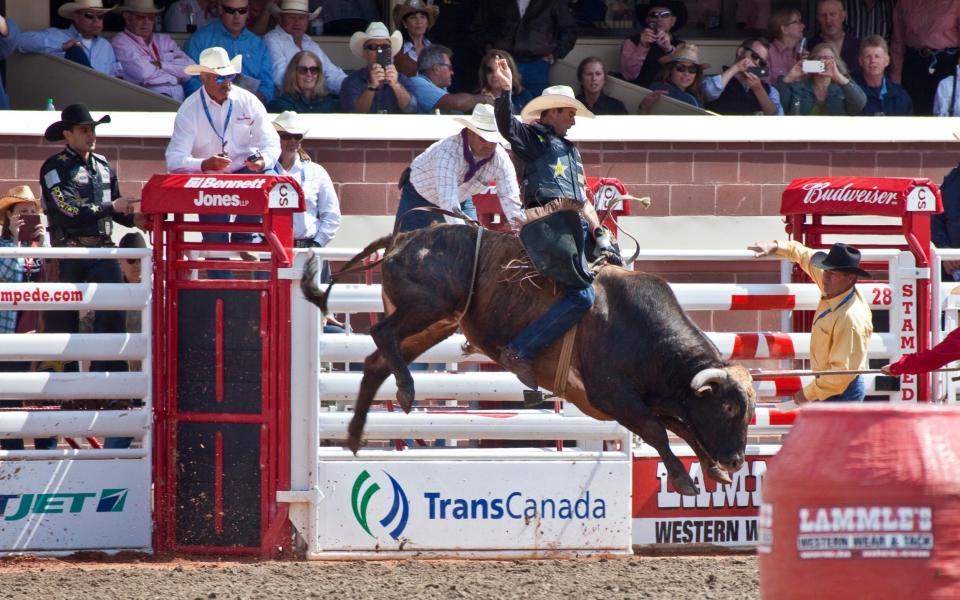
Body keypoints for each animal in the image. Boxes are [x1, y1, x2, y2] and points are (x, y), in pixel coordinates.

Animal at [304, 223, 752, 494]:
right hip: (426, 307)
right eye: (729, 406)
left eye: (747, 410)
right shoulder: (611, 397)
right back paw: (408, 390)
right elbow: (658, 430)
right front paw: (684, 478)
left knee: (376, 363)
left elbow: (683, 425)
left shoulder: (654, 399)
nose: (736, 460)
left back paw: (356, 434)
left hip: (436, 324)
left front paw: (710, 468)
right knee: (382, 334)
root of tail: (405, 238)